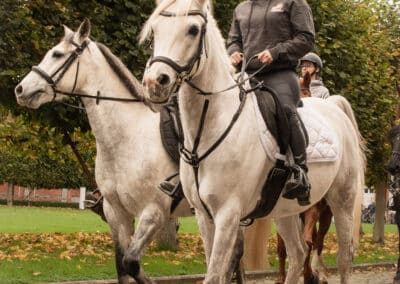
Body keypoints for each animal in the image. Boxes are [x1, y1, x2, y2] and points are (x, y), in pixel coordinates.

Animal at [13, 20, 192, 284]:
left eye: (57, 54)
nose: (20, 89)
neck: (128, 138)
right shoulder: (116, 212)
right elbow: (122, 265)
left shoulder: (153, 212)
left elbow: (131, 263)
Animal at [141, 1, 366, 282]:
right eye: (154, 31)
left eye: (193, 30)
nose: (155, 83)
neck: (210, 130)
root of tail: (334, 107)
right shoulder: (205, 216)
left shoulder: (228, 214)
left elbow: (215, 274)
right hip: (285, 210)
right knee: (297, 252)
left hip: (341, 200)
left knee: (344, 257)